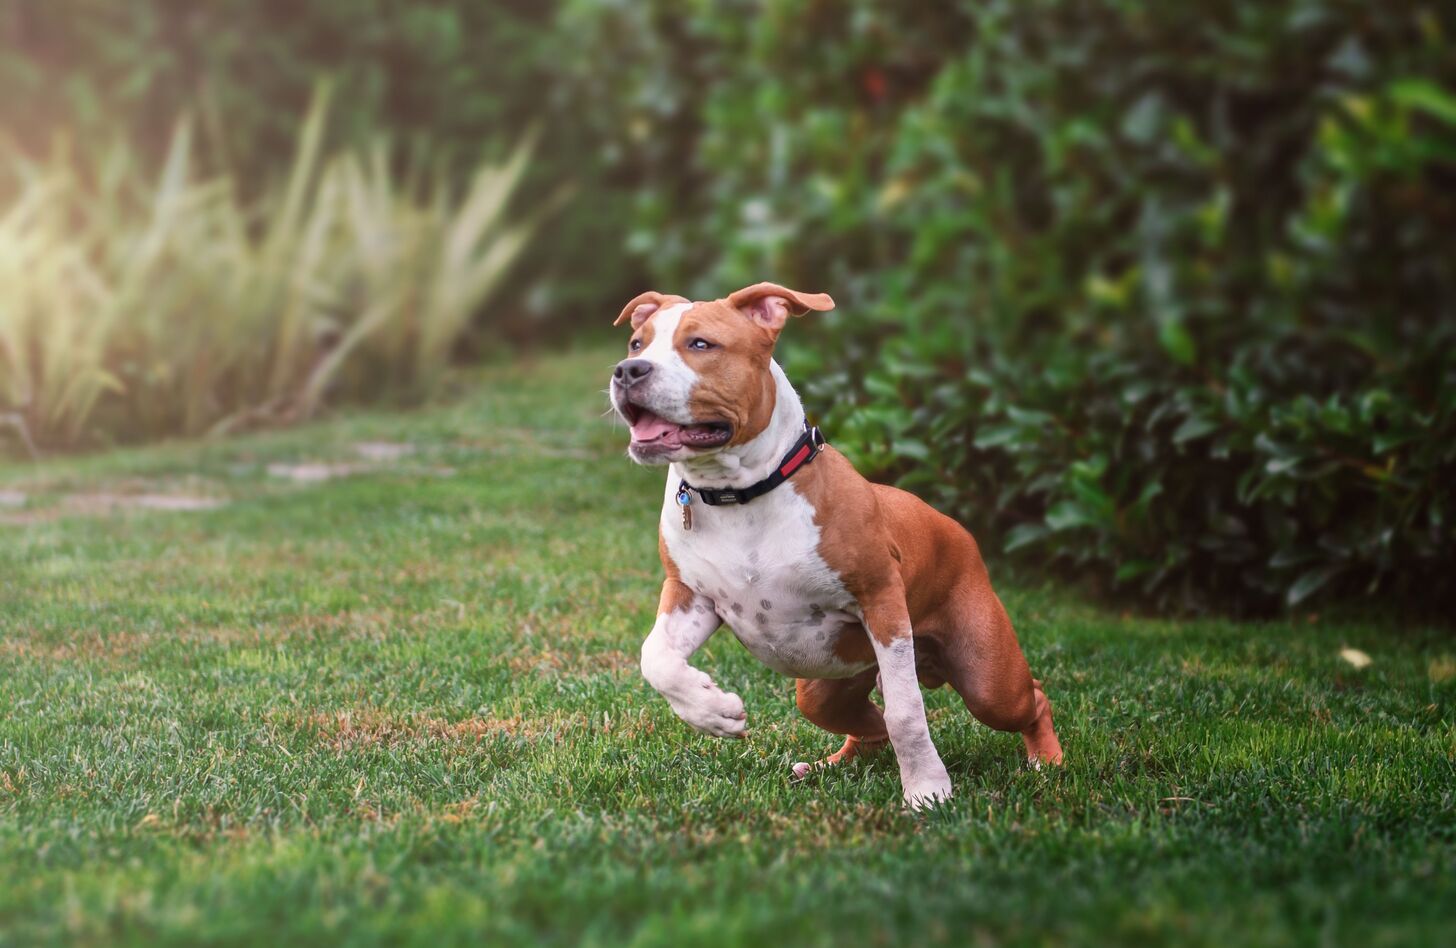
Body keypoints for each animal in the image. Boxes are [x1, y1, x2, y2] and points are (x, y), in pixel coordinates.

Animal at [608, 282, 1065, 809]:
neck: (740, 493)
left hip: (987, 678)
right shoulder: (690, 595)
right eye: (636, 344)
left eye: (701, 344)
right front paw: (714, 711)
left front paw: (928, 791)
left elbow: (907, 713)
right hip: (825, 690)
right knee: (868, 725)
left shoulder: (881, 601)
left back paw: (1047, 761)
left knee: (1028, 696)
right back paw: (828, 765)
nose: (628, 371)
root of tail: (956, 527)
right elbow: (655, 658)